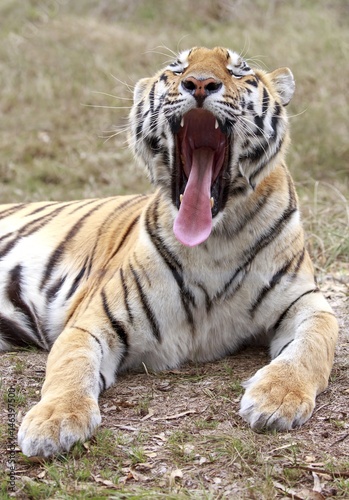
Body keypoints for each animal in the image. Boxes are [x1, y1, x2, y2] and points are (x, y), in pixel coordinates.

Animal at [0, 47, 338, 458]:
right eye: (177, 70)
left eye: (238, 71)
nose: (200, 83)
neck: (214, 241)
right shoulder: (93, 320)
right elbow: (70, 365)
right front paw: (53, 421)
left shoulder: (306, 302)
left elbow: (311, 346)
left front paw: (277, 398)